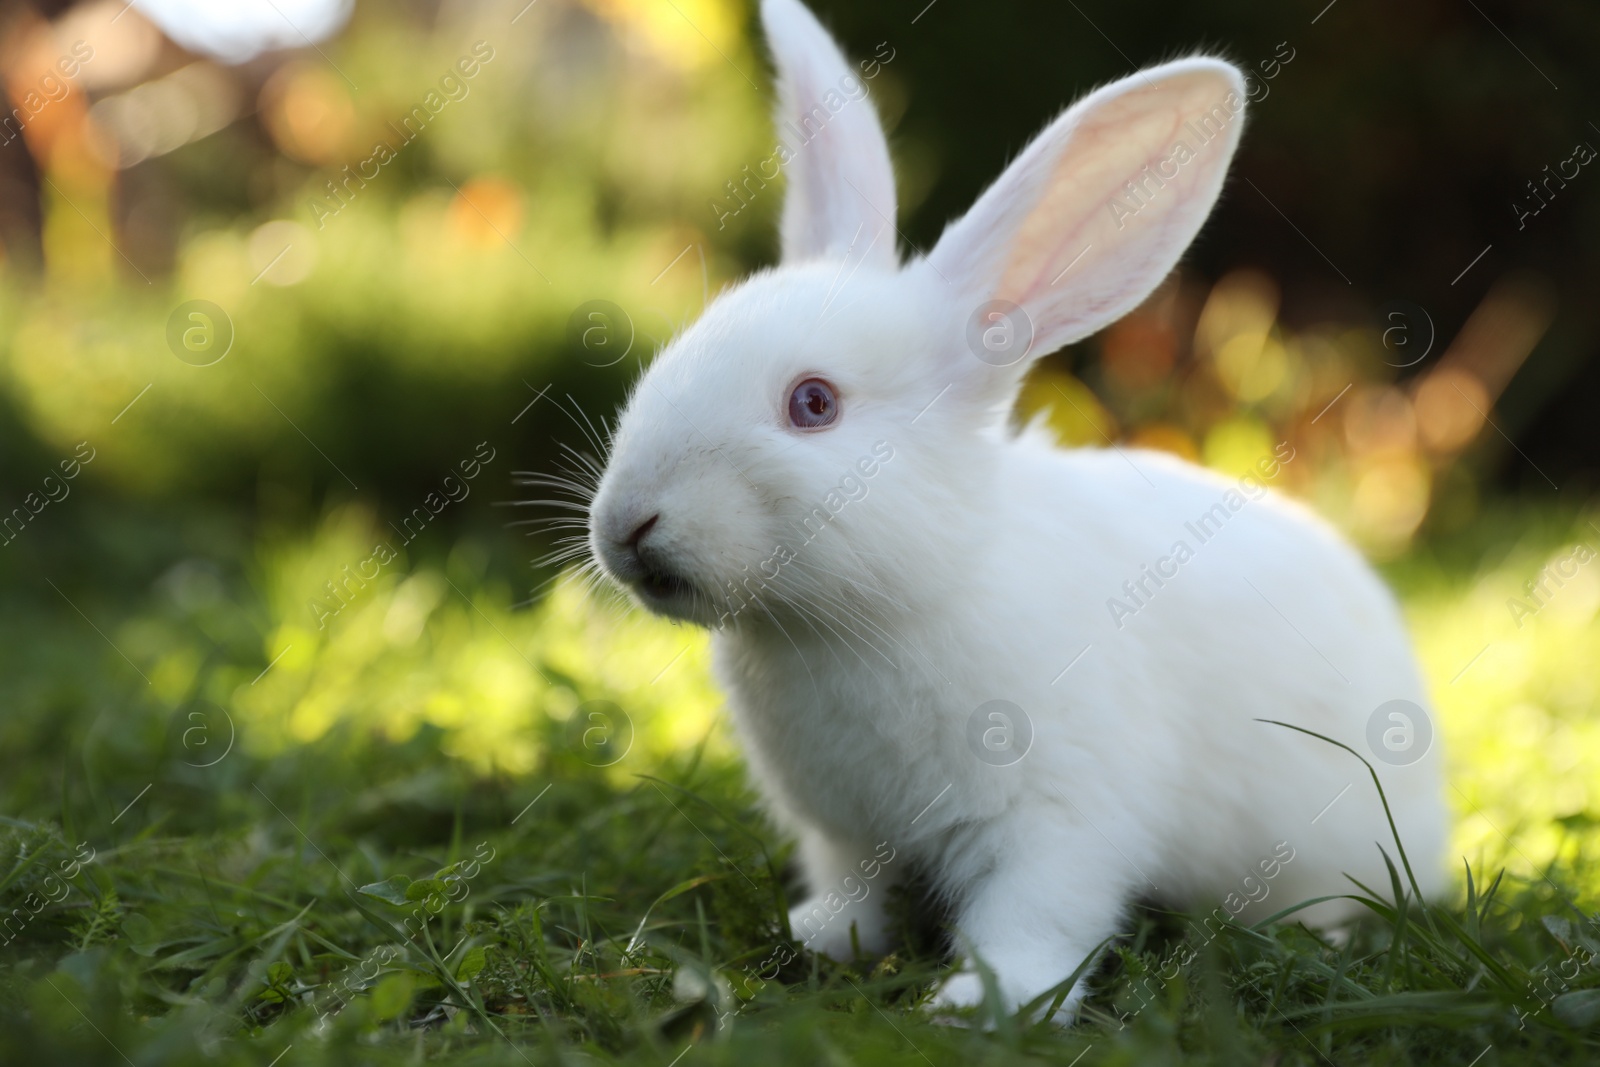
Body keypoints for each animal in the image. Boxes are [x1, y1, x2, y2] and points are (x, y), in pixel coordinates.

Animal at [585, 0, 1452, 1023]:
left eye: (813, 403)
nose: (627, 526)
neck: (883, 606)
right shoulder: (843, 834)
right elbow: (852, 894)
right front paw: (820, 939)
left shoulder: (1059, 821)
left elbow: (1036, 918)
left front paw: (979, 1002)